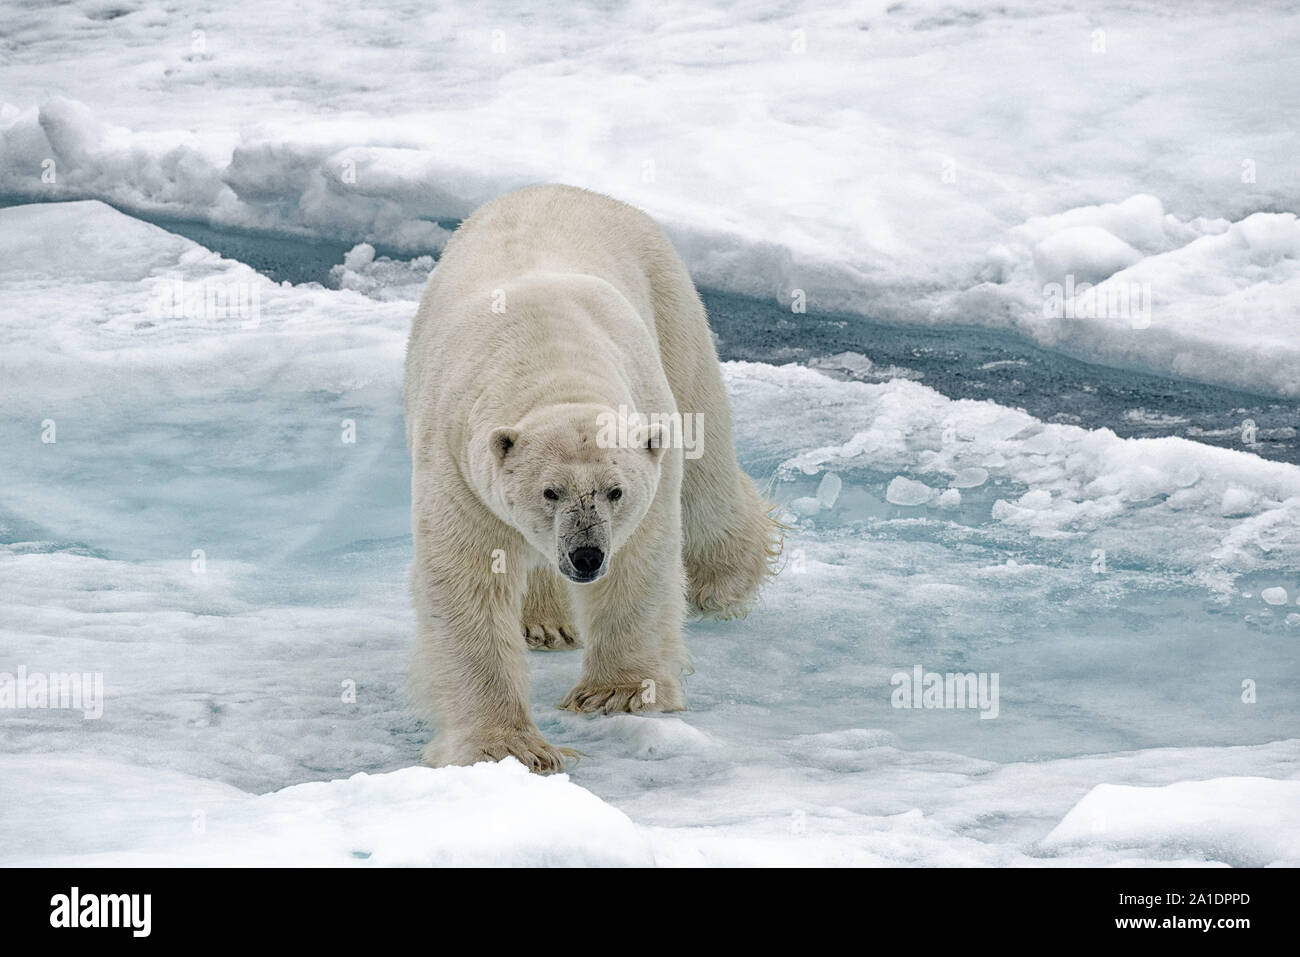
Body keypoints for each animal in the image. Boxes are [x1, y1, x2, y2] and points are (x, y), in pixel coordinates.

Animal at [400, 184, 774, 769]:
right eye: (549, 491)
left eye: (614, 491)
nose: (586, 557)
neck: (548, 361)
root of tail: (565, 188)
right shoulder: (457, 462)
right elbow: (469, 578)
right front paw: (508, 747)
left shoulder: (647, 432)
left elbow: (641, 561)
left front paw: (618, 693)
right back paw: (544, 622)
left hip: (673, 309)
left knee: (705, 469)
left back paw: (725, 580)